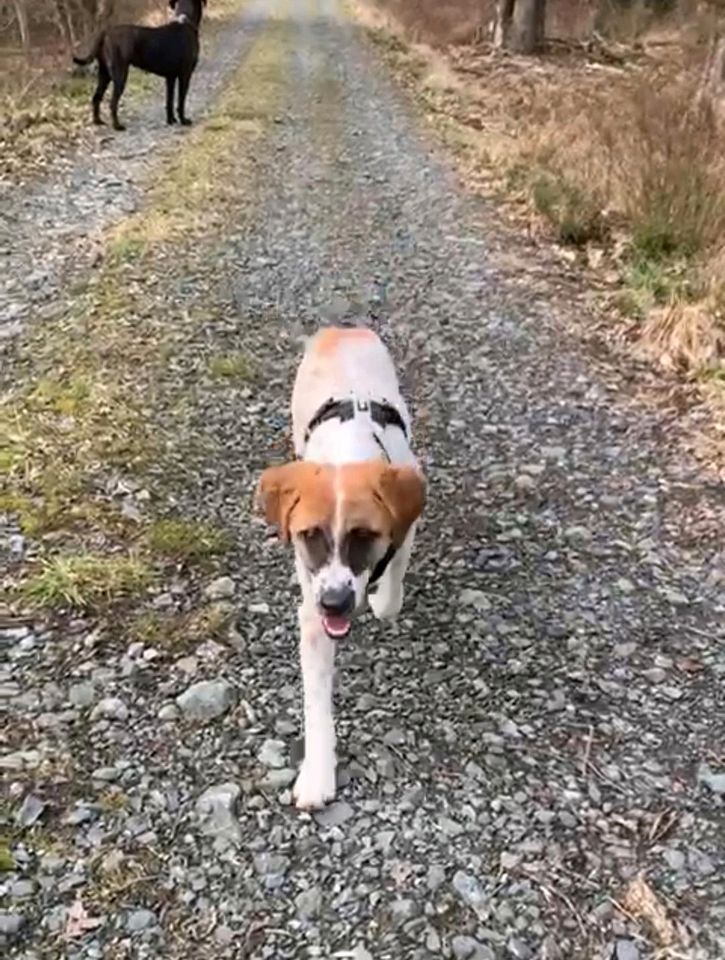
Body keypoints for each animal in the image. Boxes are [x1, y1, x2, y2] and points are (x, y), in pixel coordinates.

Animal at [74, 0, 206, 131]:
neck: (185, 21)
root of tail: (105, 33)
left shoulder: (171, 78)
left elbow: (170, 100)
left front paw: (171, 120)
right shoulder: (185, 75)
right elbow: (181, 100)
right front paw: (183, 120)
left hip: (104, 74)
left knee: (96, 97)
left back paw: (97, 121)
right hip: (120, 74)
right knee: (112, 103)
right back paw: (117, 126)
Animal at [258, 330, 424, 808]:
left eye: (363, 535)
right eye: (309, 534)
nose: (335, 603)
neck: (347, 452)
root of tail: (344, 328)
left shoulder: (406, 528)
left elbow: (392, 590)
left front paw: (379, 597)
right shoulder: (313, 616)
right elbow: (317, 706)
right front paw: (317, 775)